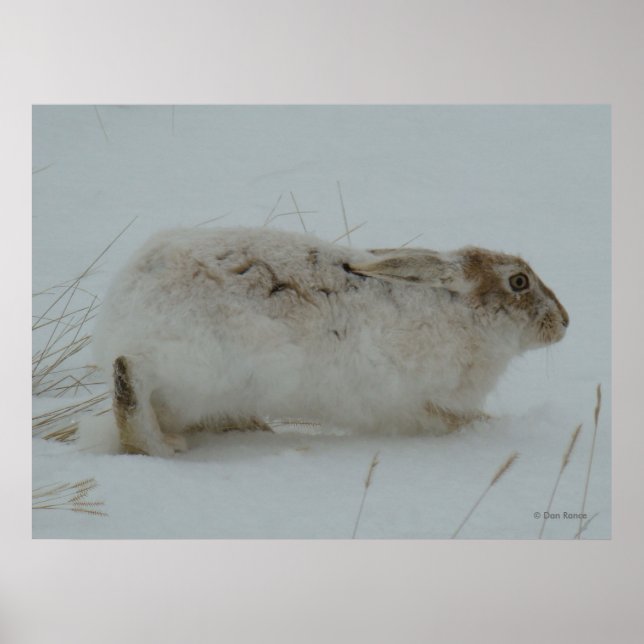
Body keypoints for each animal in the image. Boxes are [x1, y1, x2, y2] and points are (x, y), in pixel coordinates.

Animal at [91, 226, 569, 457]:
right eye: (519, 282)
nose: (564, 322)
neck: (460, 312)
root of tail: (123, 310)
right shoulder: (420, 402)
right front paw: (494, 428)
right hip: (192, 370)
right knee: (131, 390)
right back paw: (163, 446)